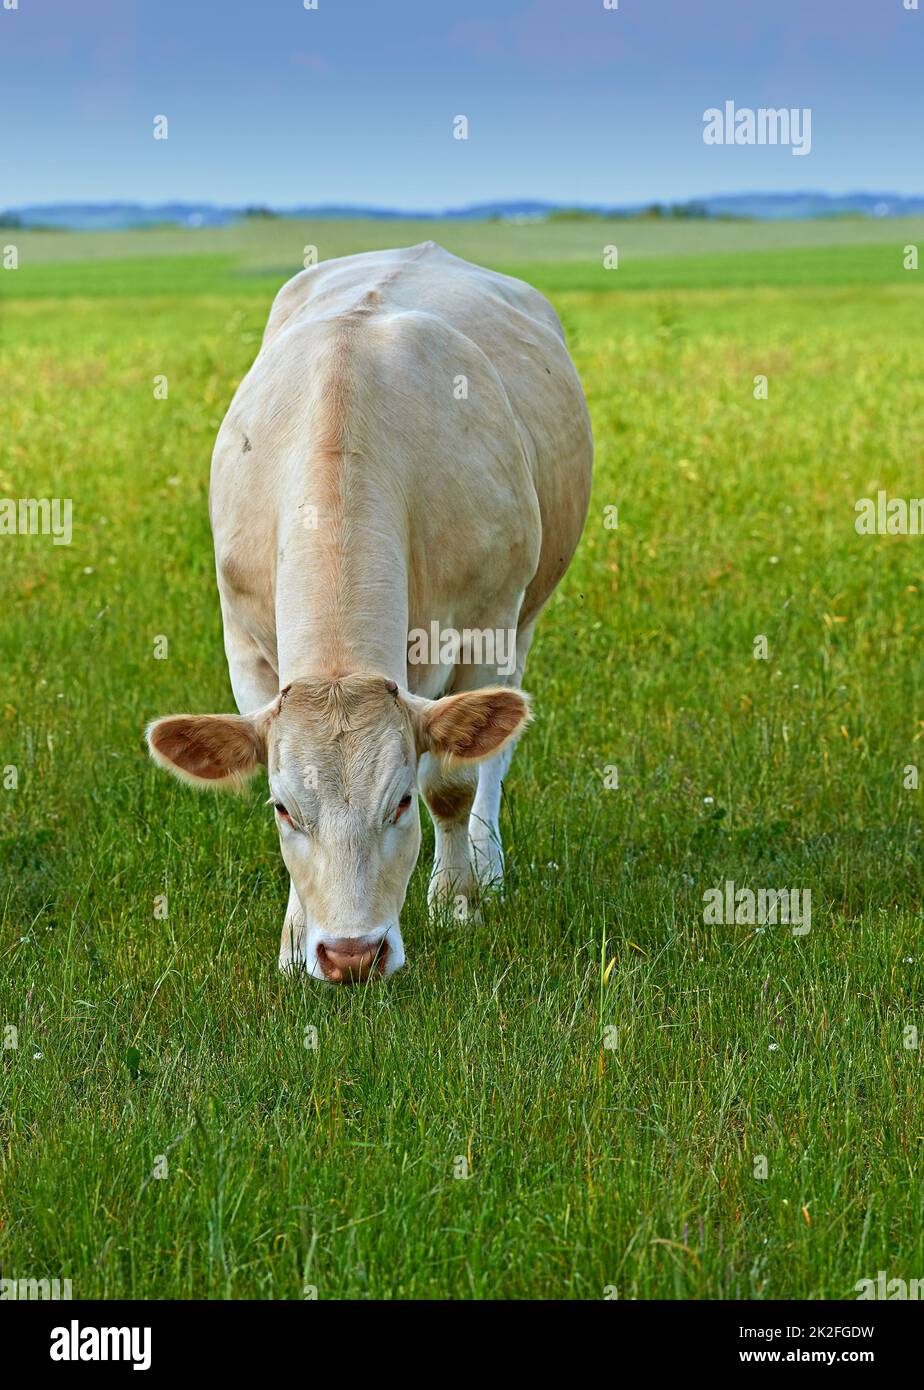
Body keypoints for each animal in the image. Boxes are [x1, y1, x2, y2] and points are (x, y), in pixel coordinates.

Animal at [146, 242, 592, 983]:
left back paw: (488, 865)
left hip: (526, 615)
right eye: (282, 808)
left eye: (400, 802)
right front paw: (294, 940)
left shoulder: (487, 626)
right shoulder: (246, 643)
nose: (351, 955)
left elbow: (454, 782)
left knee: (496, 755)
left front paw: (457, 899)